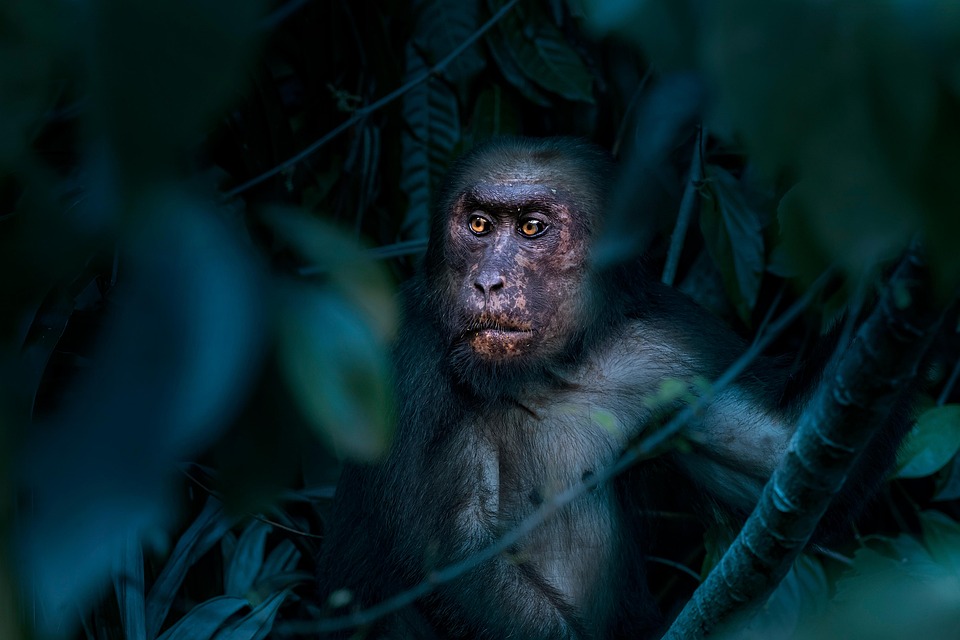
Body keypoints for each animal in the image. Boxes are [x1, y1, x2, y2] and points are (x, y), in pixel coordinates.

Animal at [316, 137, 914, 639]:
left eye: (531, 229)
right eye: (480, 226)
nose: (487, 281)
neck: (547, 369)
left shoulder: (670, 352)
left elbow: (781, 453)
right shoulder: (410, 359)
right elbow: (450, 557)